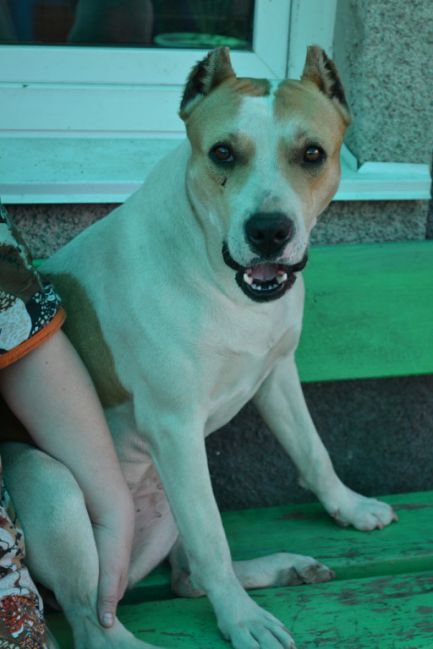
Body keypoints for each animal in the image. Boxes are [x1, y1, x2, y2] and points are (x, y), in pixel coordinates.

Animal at [2, 47, 396, 649]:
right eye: (222, 152)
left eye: (312, 153)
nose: (269, 231)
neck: (221, 278)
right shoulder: (174, 425)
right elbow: (214, 539)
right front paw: (241, 621)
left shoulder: (278, 373)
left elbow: (313, 449)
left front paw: (348, 507)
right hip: (55, 483)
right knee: (100, 620)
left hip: (172, 498)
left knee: (186, 577)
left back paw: (283, 567)